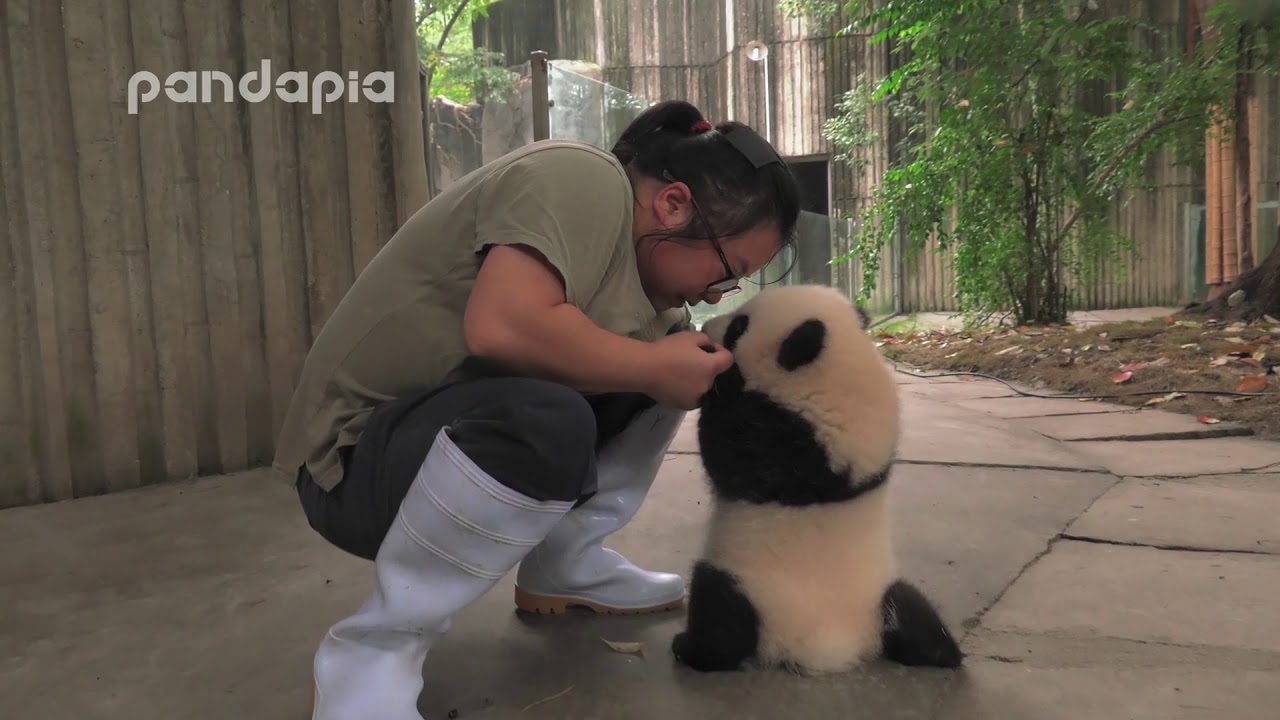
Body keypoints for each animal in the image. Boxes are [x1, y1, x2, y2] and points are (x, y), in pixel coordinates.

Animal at [671, 284, 963, 675]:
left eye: (739, 327)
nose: (706, 329)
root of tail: (825, 647)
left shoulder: (791, 443)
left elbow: (729, 450)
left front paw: (721, 380)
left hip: (748, 585)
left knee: (719, 615)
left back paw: (689, 647)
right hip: (880, 598)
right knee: (914, 612)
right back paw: (943, 653)